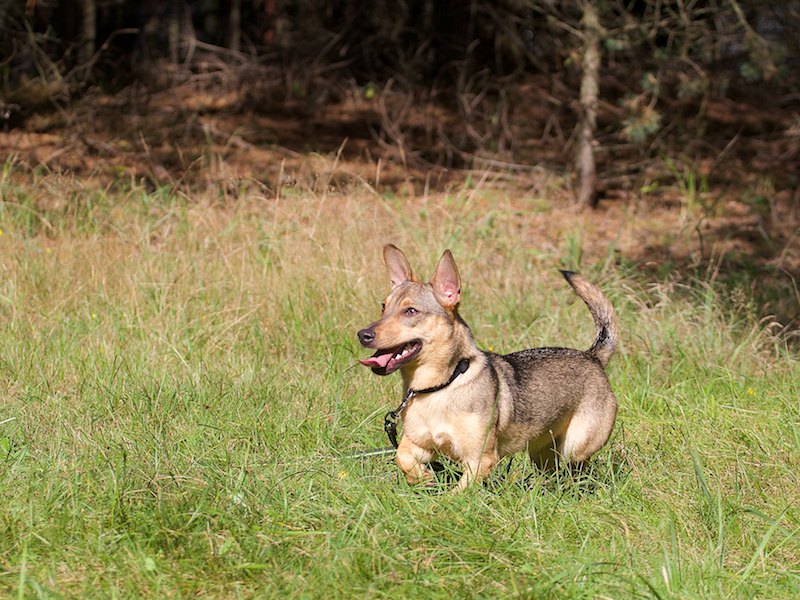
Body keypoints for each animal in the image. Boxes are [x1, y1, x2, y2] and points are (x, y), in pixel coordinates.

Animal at [357, 244, 619, 491]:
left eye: (410, 311)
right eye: (383, 307)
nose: (363, 334)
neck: (439, 387)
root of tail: (592, 356)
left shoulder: (479, 459)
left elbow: (459, 493)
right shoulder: (418, 442)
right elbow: (402, 457)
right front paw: (424, 478)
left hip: (575, 446)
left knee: (578, 468)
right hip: (541, 451)